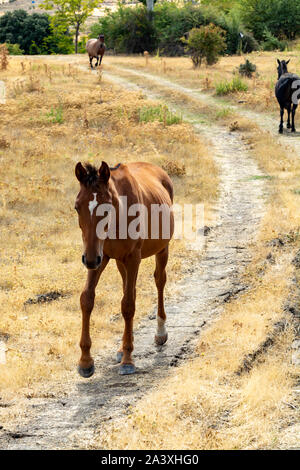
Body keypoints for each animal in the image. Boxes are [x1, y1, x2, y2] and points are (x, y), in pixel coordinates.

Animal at [74, 163, 175, 376]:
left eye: (107, 207)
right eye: (77, 207)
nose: (88, 260)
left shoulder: (132, 258)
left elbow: (128, 305)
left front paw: (128, 360)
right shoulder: (100, 257)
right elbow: (87, 299)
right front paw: (85, 362)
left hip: (162, 249)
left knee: (159, 281)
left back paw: (160, 332)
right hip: (119, 262)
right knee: (129, 289)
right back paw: (121, 347)